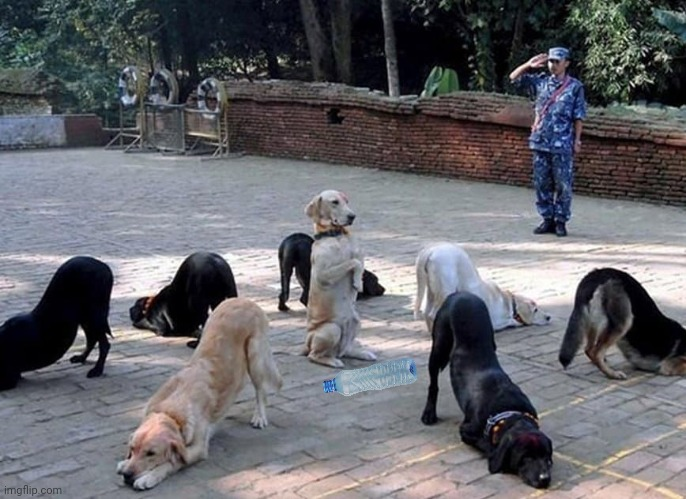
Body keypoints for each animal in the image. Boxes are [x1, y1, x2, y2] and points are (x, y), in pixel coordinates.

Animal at [0, 256, 114, 392]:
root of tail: (103, 266)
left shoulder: (9, 379)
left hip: (94, 315)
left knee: (104, 344)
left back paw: (97, 370)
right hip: (85, 317)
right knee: (92, 339)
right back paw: (81, 358)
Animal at [115, 296, 282, 492]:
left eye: (151, 453)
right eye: (132, 449)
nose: (127, 475)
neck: (171, 412)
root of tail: (242, 299)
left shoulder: (198, 449)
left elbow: (173, 462)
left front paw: (148, 477)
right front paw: (124, 464)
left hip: (255, 355)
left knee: (260, 390)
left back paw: (260, 417)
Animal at [300, 189, 376, 370]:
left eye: (346, 201)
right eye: (335, 202)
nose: (352, 216)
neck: (336, 236)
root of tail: (307, 343)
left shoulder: (359, 253)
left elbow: (357, 259)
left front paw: (358, 281)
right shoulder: (324, 274)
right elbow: (352, 262)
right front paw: (357, 283)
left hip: (356, 321)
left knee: (345, 350)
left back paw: (362, 353)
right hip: (331, 329)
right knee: (315, 355)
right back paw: (332, 361)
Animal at [414, 241, 552, 332]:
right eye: (535, 310)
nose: (549, 317)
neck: (508, 302)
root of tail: (430, 250)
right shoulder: (494, 321)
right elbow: (508, 322)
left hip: (431, 291)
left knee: (426, 312)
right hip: (446, 288)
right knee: (432, 314)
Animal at [422, 292, 556, 490]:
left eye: (547, 457)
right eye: (526, 458)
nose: (544, 479)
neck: (507, 413)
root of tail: (460, 294)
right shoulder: (466, 430)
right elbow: (485, 445)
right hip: (439, 346)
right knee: (433, 384)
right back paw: (429, 413)